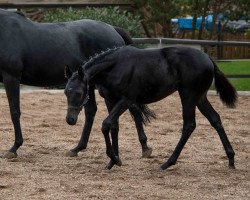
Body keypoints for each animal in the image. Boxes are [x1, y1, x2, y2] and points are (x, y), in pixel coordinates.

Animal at [0, 9, 151, 159]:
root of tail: (113, 29)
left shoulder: (11, 77)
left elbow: (14, 111)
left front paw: (14, 148)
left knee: (132, 109)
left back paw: (144, 147)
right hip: (90, 84)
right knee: (91, 111)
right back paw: (78, 148)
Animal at [64, 45, 236, 170]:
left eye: (79, 92)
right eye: (66, 91)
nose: (70, 120)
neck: (116, 67)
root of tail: (208, 58)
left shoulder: (127, 100)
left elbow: (105, 124)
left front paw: (114, 158)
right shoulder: (111, 100)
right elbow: (113, 127)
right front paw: (114, 161)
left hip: (188, 95)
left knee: (189, 125)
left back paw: (168, 163)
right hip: (200, 98)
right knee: (215, 119)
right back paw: (231, 159)